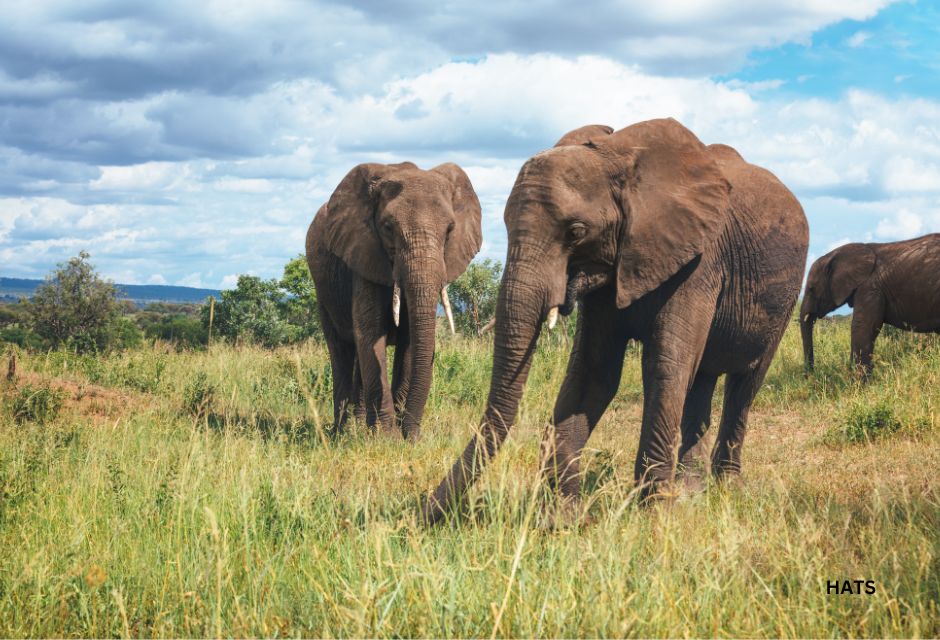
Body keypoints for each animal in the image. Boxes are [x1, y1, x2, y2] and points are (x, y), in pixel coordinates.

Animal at [306, 160, 484, 440]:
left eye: (449, 230)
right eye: (388, 228)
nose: (413, 436)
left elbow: (410, 342)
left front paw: (399, 436)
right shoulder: (363, 255)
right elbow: (370, 335)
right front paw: (386, 438)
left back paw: (358, 427)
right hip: (323, 290)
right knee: (341, 350)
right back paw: (342, 433)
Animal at [418, 116, 808, 524]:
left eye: (576, 232)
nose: (424, 513)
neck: (619, 159)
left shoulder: (700, 262)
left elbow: (664, 367)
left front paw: (652, 516)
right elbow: (594, 373)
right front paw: (563, 519)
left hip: (785, 298)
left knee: (744, 385)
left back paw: (724, 487)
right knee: (701, 379)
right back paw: (691, 492)